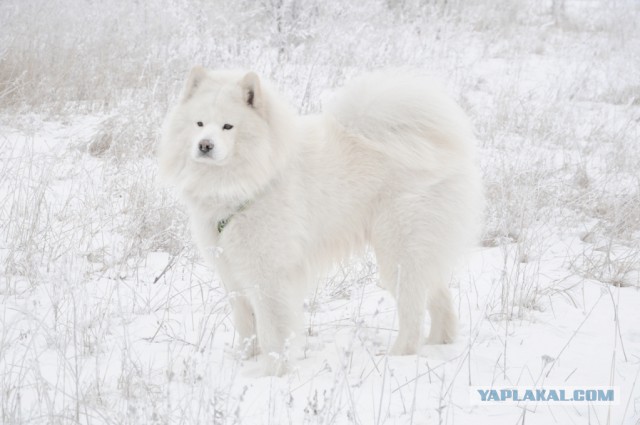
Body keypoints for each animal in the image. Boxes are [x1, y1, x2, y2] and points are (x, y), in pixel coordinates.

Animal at [158, 67, 482, 374]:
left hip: (399, 252)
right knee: (439, 297)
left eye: (228, 126)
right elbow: (246, 324)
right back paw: (439, 342)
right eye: (199, 124)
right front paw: (244, 361)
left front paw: (273, 373)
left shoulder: (269, 274)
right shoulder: (231, 271)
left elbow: (272, 330)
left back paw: (400, 354)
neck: (252, 181)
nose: (205, 145)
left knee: (413, 310)